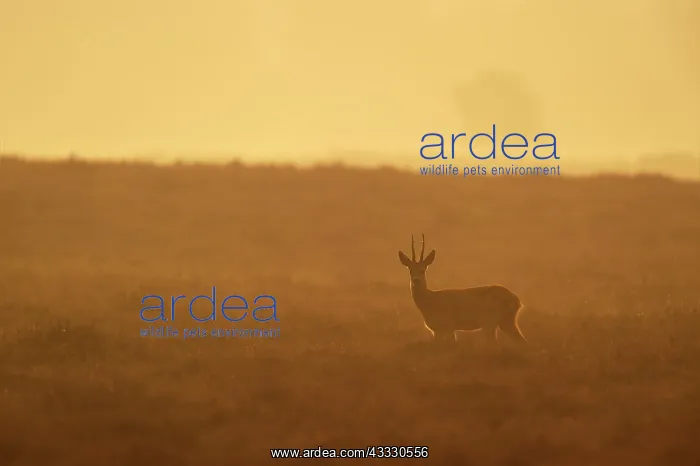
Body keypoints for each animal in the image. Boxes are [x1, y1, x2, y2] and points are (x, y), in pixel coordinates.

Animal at [398, 234, 528, 345]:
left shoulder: (447, 327)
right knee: (522, 342)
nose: (416, 280)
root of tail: (516, 300)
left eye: (423, 269)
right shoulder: (438, 331)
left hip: (490, 323)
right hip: (507, 322)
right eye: (410, 270)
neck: (430, 300)